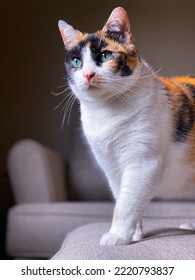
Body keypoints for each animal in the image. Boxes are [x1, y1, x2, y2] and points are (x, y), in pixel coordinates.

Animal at [58, 7, 195, 245]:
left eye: (105, 56)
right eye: (76, 62)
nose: (88, 74)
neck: (106, 114)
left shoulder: (142, 163)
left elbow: (126, 204)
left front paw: (117, 235)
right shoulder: (112, 168)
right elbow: (124, 198)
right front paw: (134, 234)